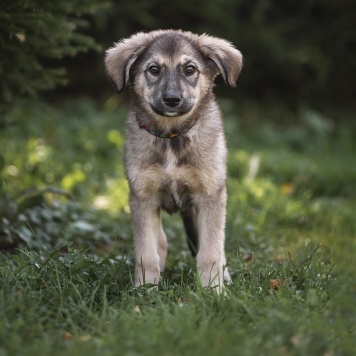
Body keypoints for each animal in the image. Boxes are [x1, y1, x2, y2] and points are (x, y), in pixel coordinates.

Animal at [103, 29, 242, 292]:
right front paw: (145, 289)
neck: (172, 136)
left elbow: (210, 252)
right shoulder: (143, 198)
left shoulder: (210, 195)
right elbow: (146, 253)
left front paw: (213, 290)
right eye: (153, 69)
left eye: (190, 69)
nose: (172, 99)